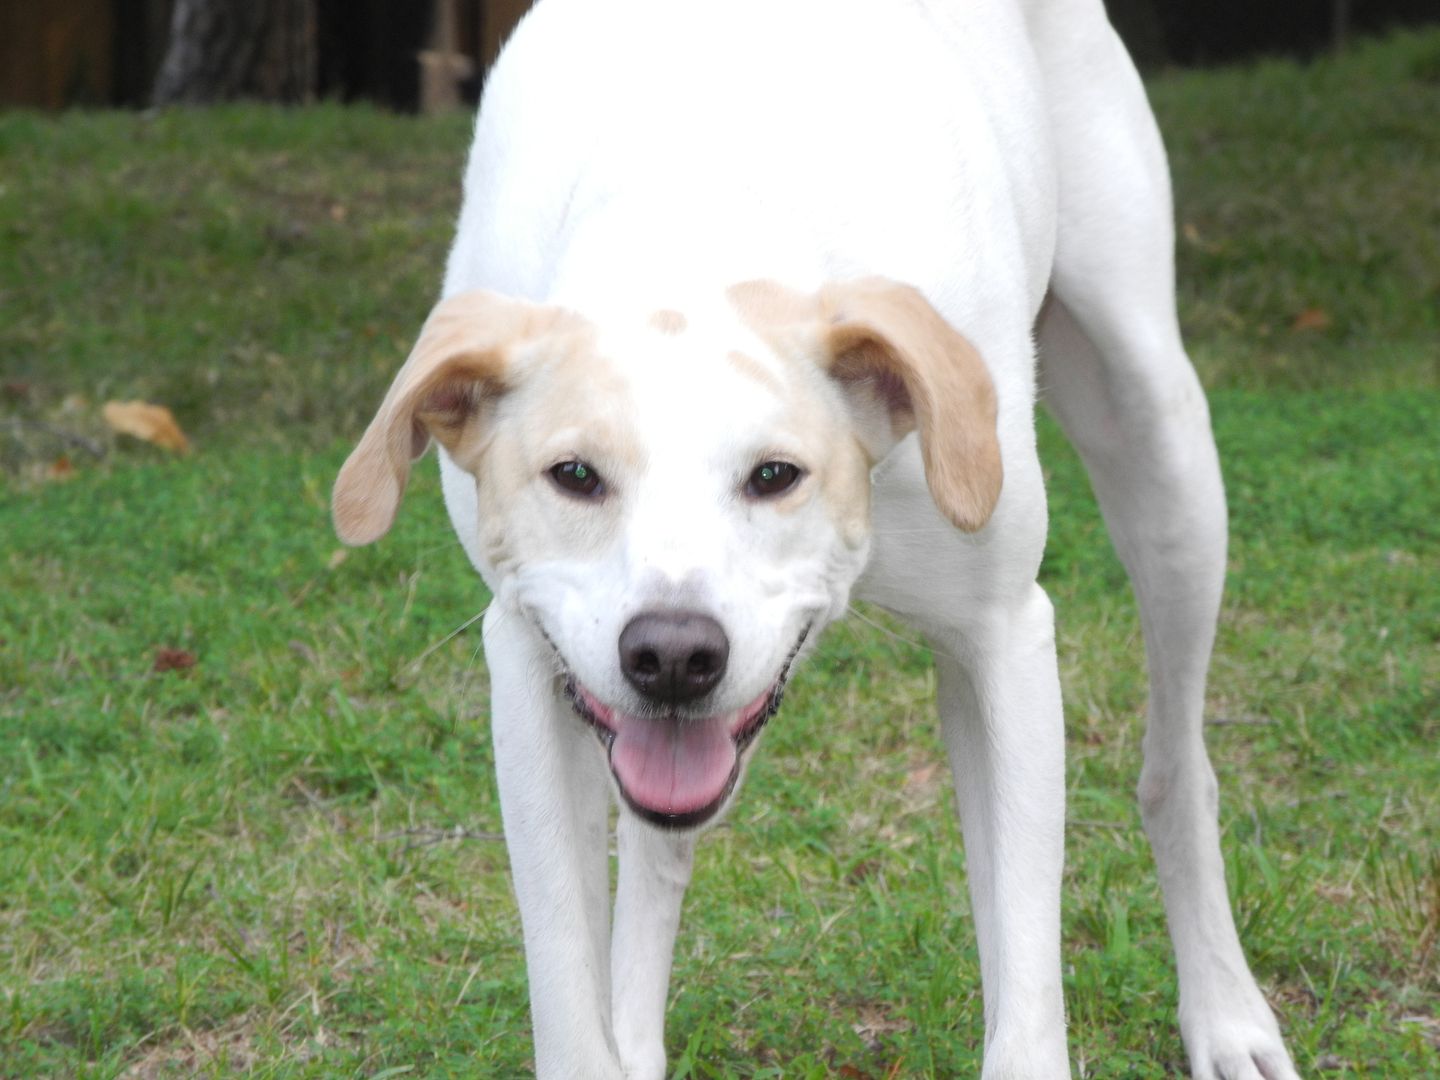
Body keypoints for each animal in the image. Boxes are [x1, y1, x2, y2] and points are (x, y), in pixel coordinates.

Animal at [331, 2, 1301, 1080]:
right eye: (574, 476)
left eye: (776, 474)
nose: (673, 654)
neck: (695, 208)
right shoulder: (530, 658)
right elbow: (572, 1001)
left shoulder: (1004, 636)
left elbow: (1026, 998)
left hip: (1159, 439)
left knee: (1178, 768)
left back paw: (1225, 1011)